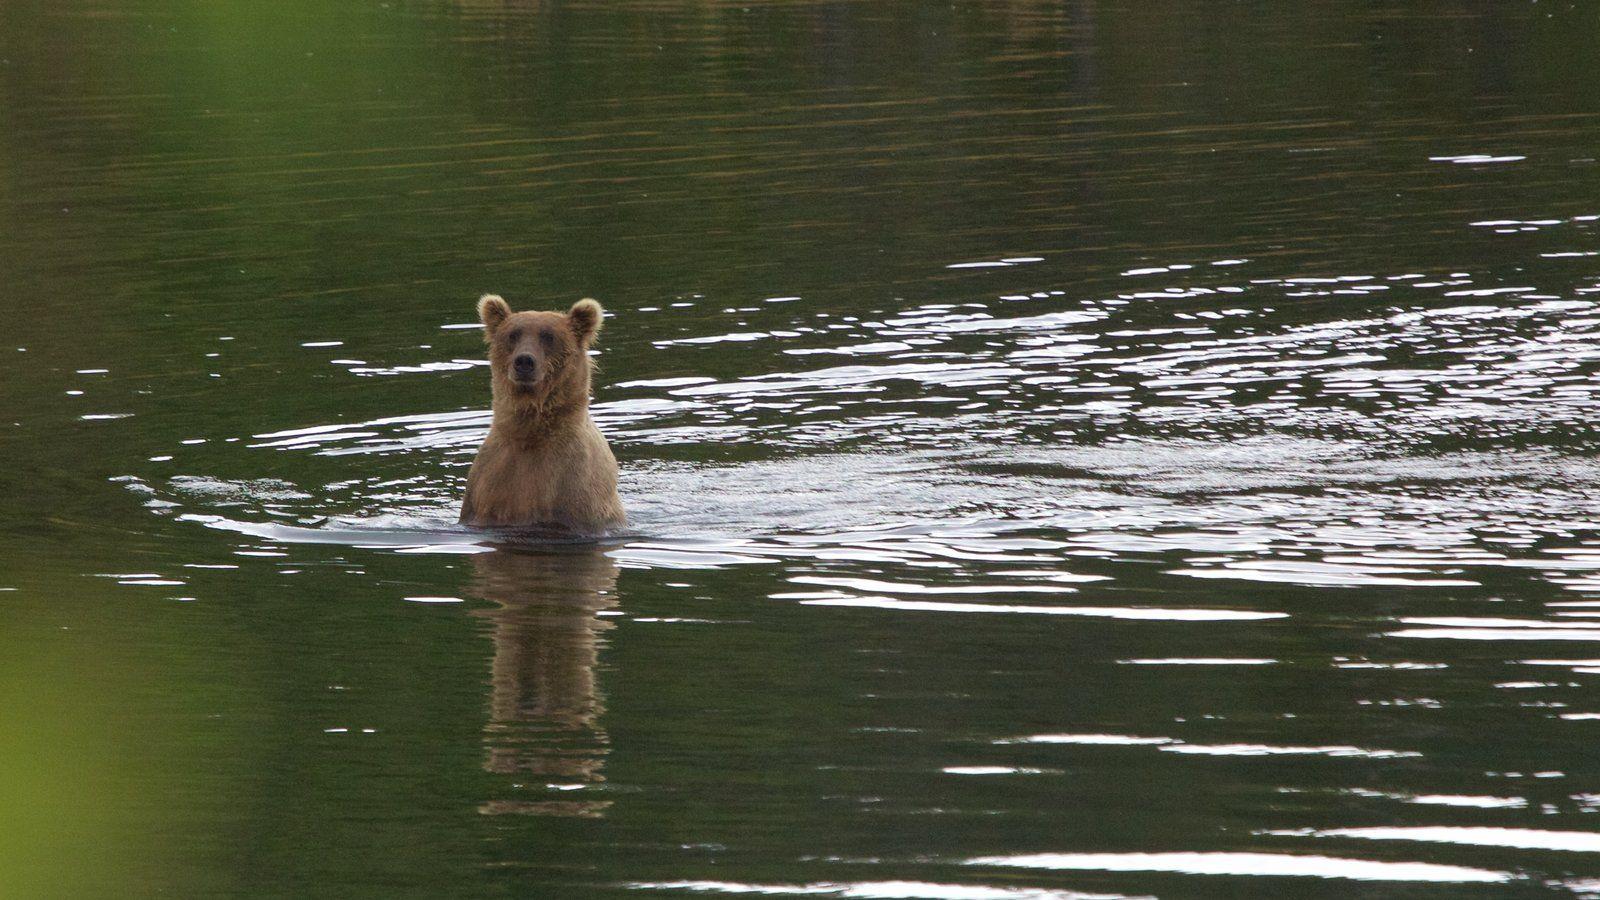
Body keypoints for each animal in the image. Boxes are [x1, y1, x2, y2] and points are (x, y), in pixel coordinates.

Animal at [457, 294, 624, 531]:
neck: (532, 432)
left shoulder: (574, 488)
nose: (524, 361)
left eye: (548, 336)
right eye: (513, 334)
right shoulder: (490, 484)